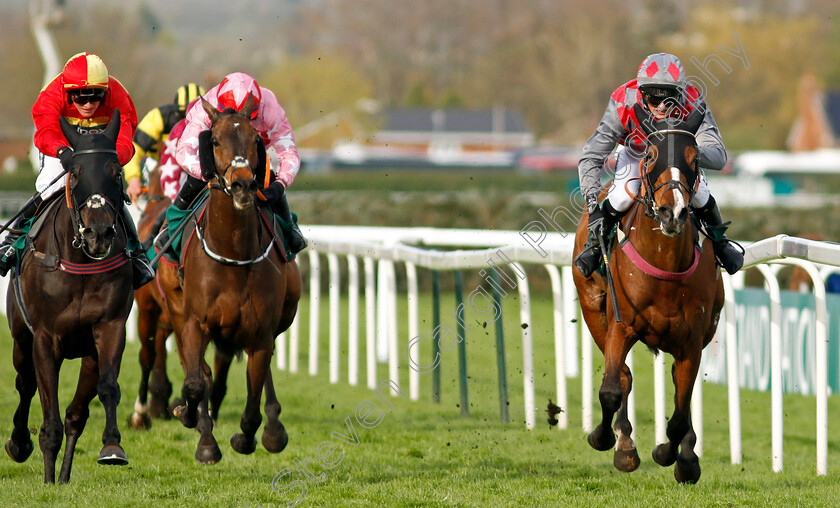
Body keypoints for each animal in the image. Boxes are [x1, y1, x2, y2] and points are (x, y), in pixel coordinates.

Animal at [4, 111, 135, 484]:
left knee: (77, 413)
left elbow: (108, 387)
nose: (98, 233)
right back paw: (21, 445)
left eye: (116, 172)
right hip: (21, 338)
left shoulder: (109, 328)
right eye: (75, 173)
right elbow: (47, 406)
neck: (81, 263)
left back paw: (63, 476)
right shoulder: (45, 338)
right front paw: (45, 474)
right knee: (24, 384)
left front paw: (112, 447)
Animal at [159, 93, 300, 462]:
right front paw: (198, 428)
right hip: (176, 309)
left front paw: (249, 437)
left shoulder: (261, 333)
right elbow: (196, 382)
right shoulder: (195, 323)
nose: (243, 184)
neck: (233, 254)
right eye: (216, 140)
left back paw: (273, 426)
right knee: (201, 372)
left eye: (255, 139)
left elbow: (251, 402)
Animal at [576, 106, 724, 484]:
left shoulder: (691, 341)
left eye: (694, 157)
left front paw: (677, 457)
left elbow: (680, 414)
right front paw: (606, 439)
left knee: (680, 393)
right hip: (594, 313)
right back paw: (624, 443)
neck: (665, 264)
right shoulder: (620, 325)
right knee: (623, 378)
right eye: (652, 155)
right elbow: (612, 389)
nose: (672, 212)